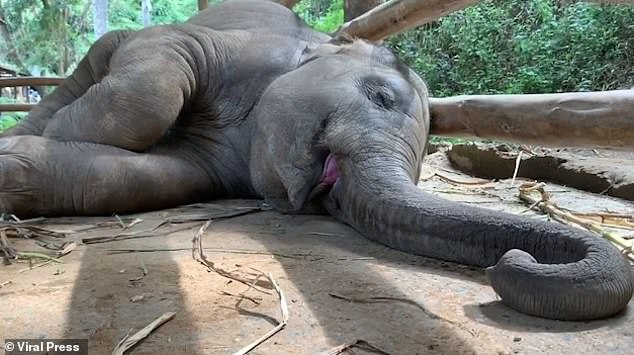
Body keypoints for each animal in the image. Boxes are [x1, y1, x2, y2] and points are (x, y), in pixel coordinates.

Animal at [1, 0, 632, 322]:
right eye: (381, 97)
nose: (512, 259)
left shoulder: (222, 163)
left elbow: (147, 179)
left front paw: (16, 166)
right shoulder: (229, 44)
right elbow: (155, 75)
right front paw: (30, 143)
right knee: (97, 65)